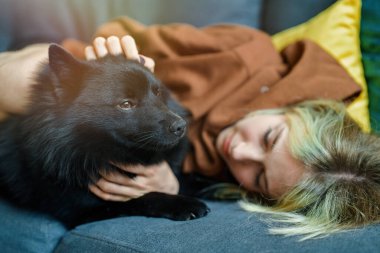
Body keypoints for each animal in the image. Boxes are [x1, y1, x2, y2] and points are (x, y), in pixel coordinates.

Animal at [0, 44, 209, 228]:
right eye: (126, 104)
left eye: (157, 93)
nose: (181, 126)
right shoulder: (86, 210)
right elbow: (141, 198)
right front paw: (182, 204)